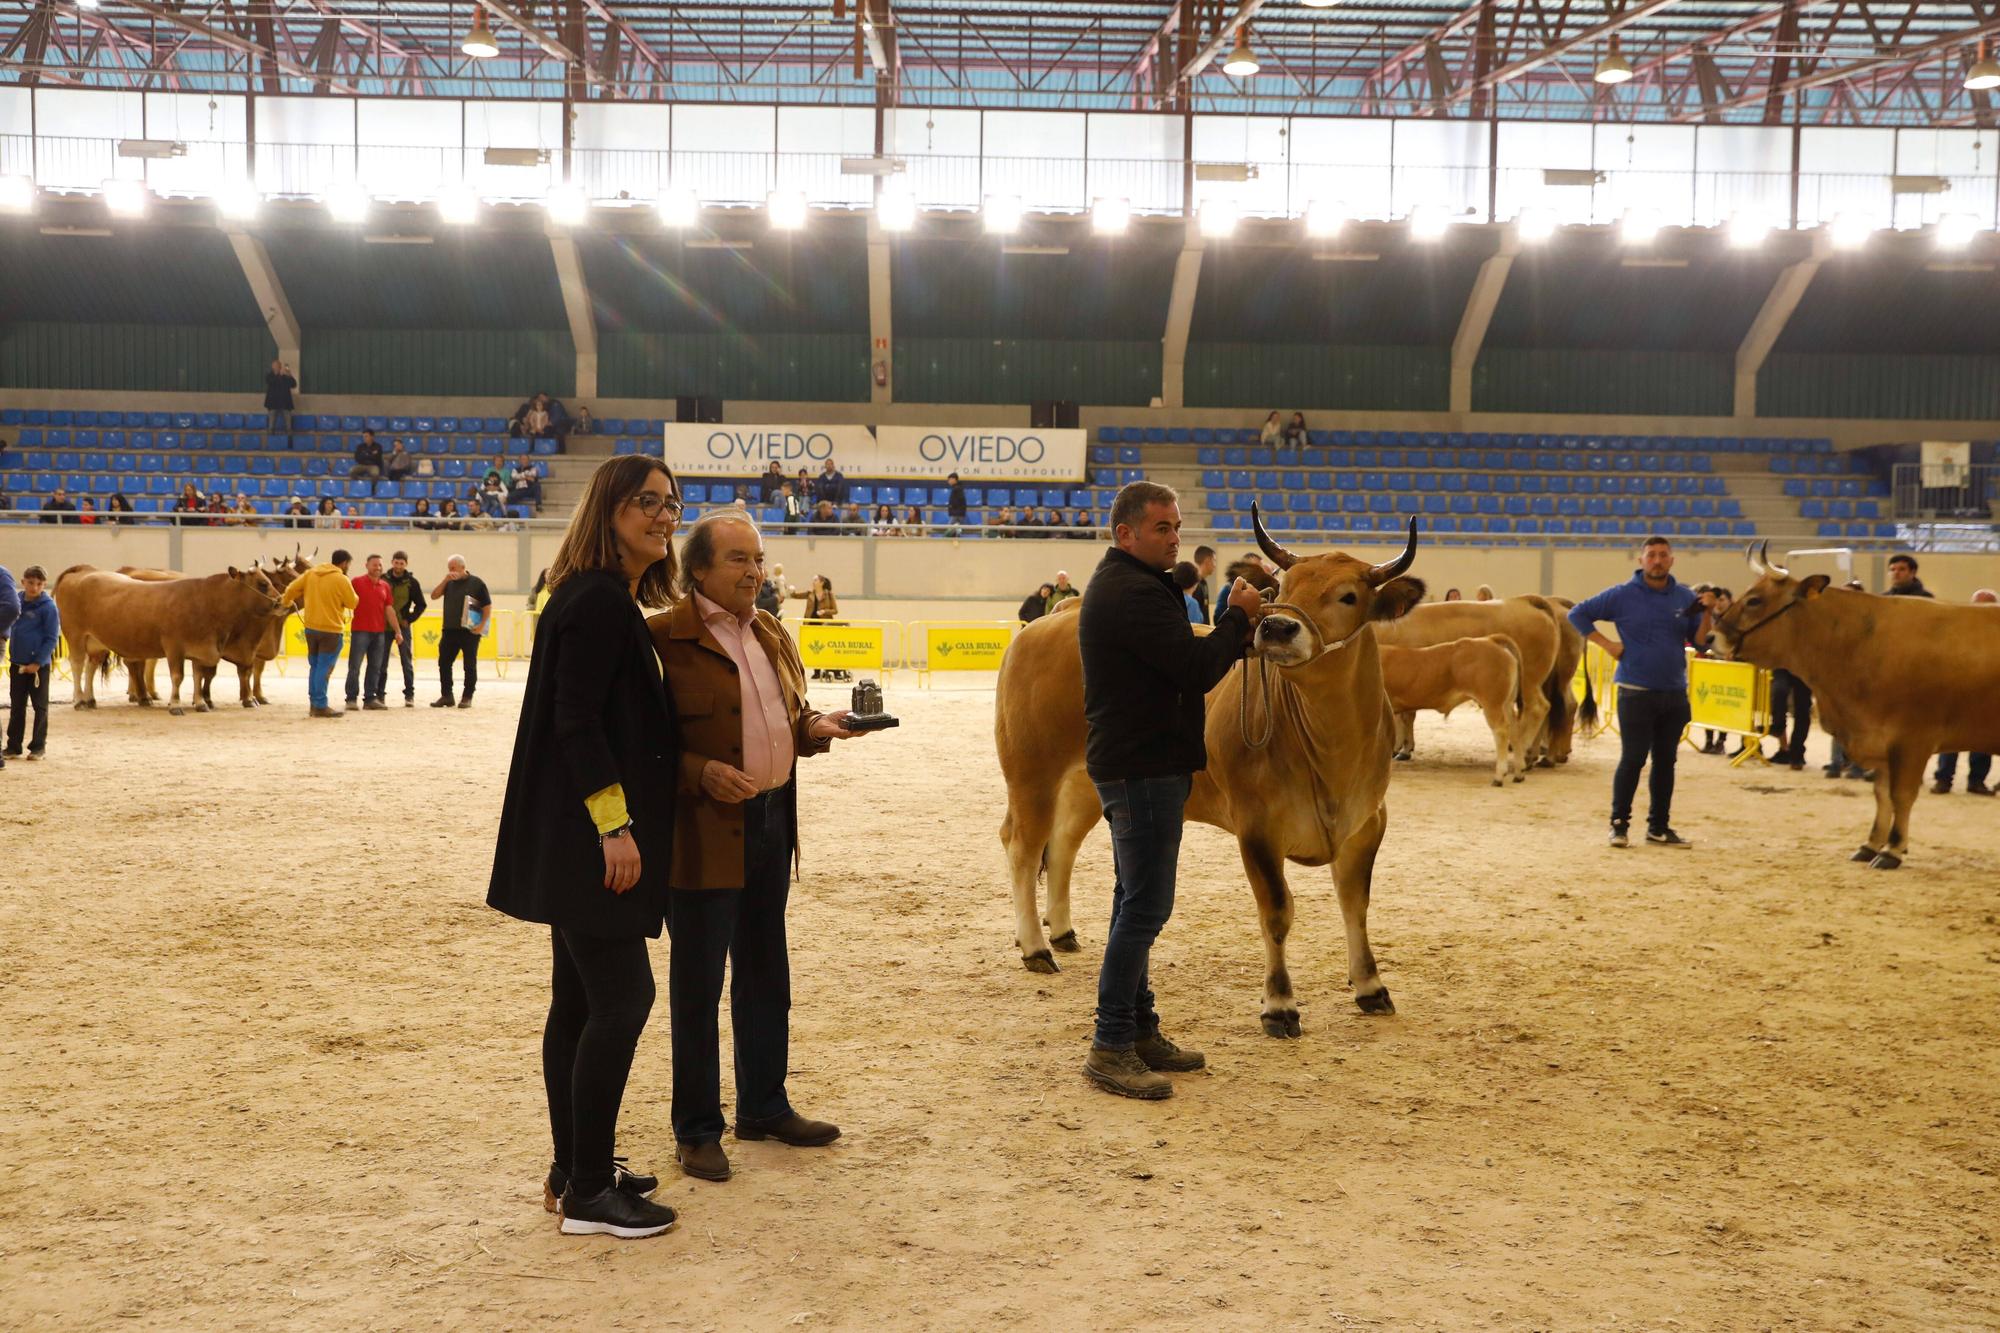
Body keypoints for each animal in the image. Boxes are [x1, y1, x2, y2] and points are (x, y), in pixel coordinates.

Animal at [58, 564, 288, 712]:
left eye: (269, 581)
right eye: (262, 583)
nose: (282, 602)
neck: (207, 602)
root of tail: (83, 571)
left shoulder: (201, 649)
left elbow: (198, 676)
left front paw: (201, 703)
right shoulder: (174, 647)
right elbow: (178, 677)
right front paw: (176, 705)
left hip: (96, 643)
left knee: (91, 667)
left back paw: (90, 699)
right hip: (75, 636)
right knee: (77, 665)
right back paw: (79, 701)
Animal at [996, 504, 1424, 1032]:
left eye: (1349, 596)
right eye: (1281, 588)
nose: (1276, 628)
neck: (1331, 754)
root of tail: (1055, 617)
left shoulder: (1367, 822)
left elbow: (1356, 904)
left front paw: (1370, 986)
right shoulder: (1256, 826)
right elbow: (1277, 911)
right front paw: (1279, 1004)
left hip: (1086, 785)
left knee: (1063, 845)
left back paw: (1062, 931)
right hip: (1029, 770)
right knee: (1022, 844)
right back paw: (1035, 947)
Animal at [1384, 632, 1520, 784]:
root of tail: (1490, 640)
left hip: (1492, 704)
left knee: (1501, 731)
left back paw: (1499, 776)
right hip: (1506, 704)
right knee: (1514, 728)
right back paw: (1519, 774)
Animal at [1704, 544, 2000, 868]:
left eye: (1755, 600)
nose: (1710, 636)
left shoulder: (1913, 740)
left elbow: (1902, 795)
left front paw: (1892, 849)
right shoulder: (1881, 741)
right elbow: (1881, 794)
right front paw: (1871, 844)